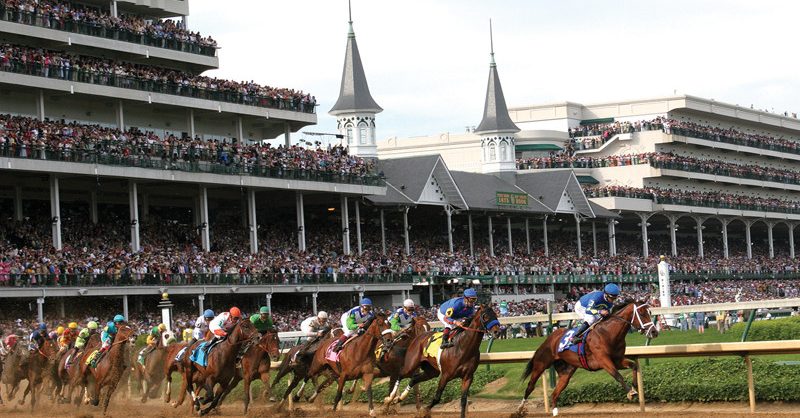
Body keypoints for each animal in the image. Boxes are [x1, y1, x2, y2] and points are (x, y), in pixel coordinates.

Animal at [516, 298, 660, 416]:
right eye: (641, 313)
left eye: (650, 313)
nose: (654, 332)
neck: (609, 333)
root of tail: (550, 337)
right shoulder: (604, 361)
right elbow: (617, 375)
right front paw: (630, 392)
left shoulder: (617, 360)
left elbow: (633, 365)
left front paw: (634, 387)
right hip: (541, 364)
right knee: (530, 386)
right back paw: (519, 409)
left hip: (566, 372)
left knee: (555, 393)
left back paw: (555, 412)